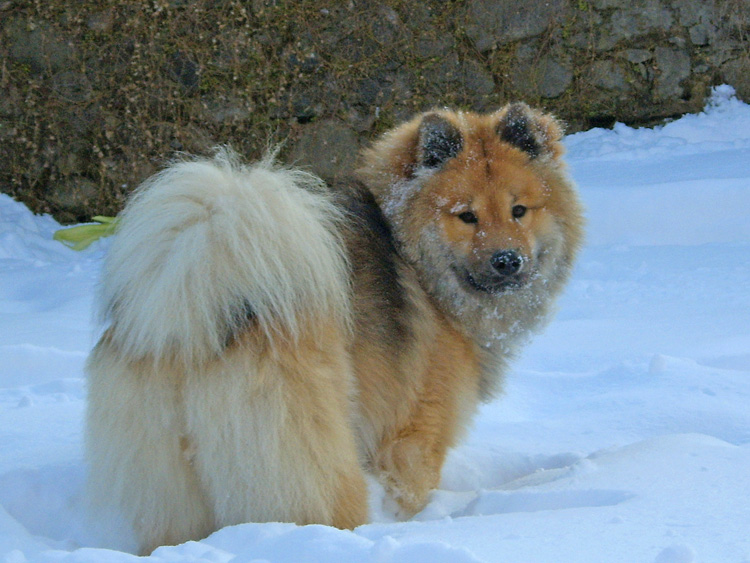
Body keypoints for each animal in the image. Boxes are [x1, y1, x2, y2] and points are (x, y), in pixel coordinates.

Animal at [85, 103, 584, 552]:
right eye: (466, 215)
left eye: (519, 210)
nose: (508, 261)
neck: (416, 258)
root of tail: (197, 316)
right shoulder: (415, 436)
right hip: (314, 459)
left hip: (171, 486)